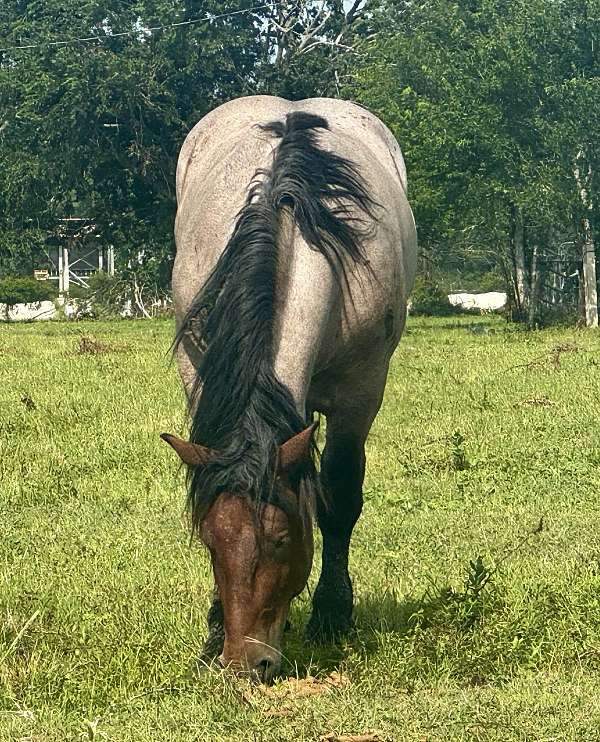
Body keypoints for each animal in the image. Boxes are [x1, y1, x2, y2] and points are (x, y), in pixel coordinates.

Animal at [161, 96, 417, 683]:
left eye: (280, 540)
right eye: (209, 540)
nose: (245, 663)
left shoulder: (360, 392)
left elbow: (340, 499)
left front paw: (332, 615)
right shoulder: (199, 373)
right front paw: (214, 628)